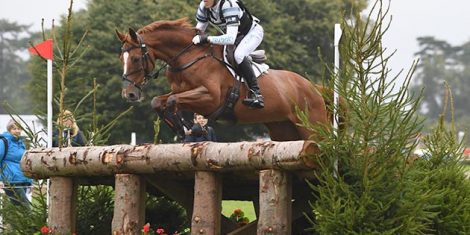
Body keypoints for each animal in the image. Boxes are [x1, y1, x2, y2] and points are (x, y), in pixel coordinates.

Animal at [116, 18, 328, 141]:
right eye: (121, 58)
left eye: (135, 59)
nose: (129, 94)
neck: (189, 57)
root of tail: (314, 88)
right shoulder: (181, 91)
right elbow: (159, 101)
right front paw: (180, 128)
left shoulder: (210, 98)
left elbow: (172, 101)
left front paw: (183, 128)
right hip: (282, 129)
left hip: (312, 127)